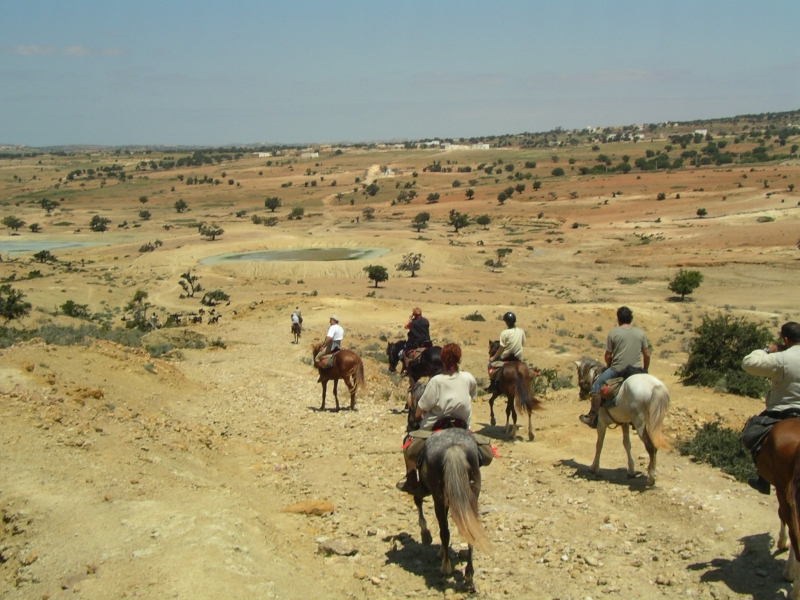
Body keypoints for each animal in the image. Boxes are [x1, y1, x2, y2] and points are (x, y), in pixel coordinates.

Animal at [576, 358, 668, 486]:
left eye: (580, 378)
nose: (581, 395)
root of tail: (655, 387)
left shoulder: (602, 423)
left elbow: (599, 444)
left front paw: (594, 467)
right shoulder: (624, 423)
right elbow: (627, 444)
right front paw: (631, 471)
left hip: (640, 423)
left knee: (650, 447)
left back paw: (651, 478)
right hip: (654, 424)